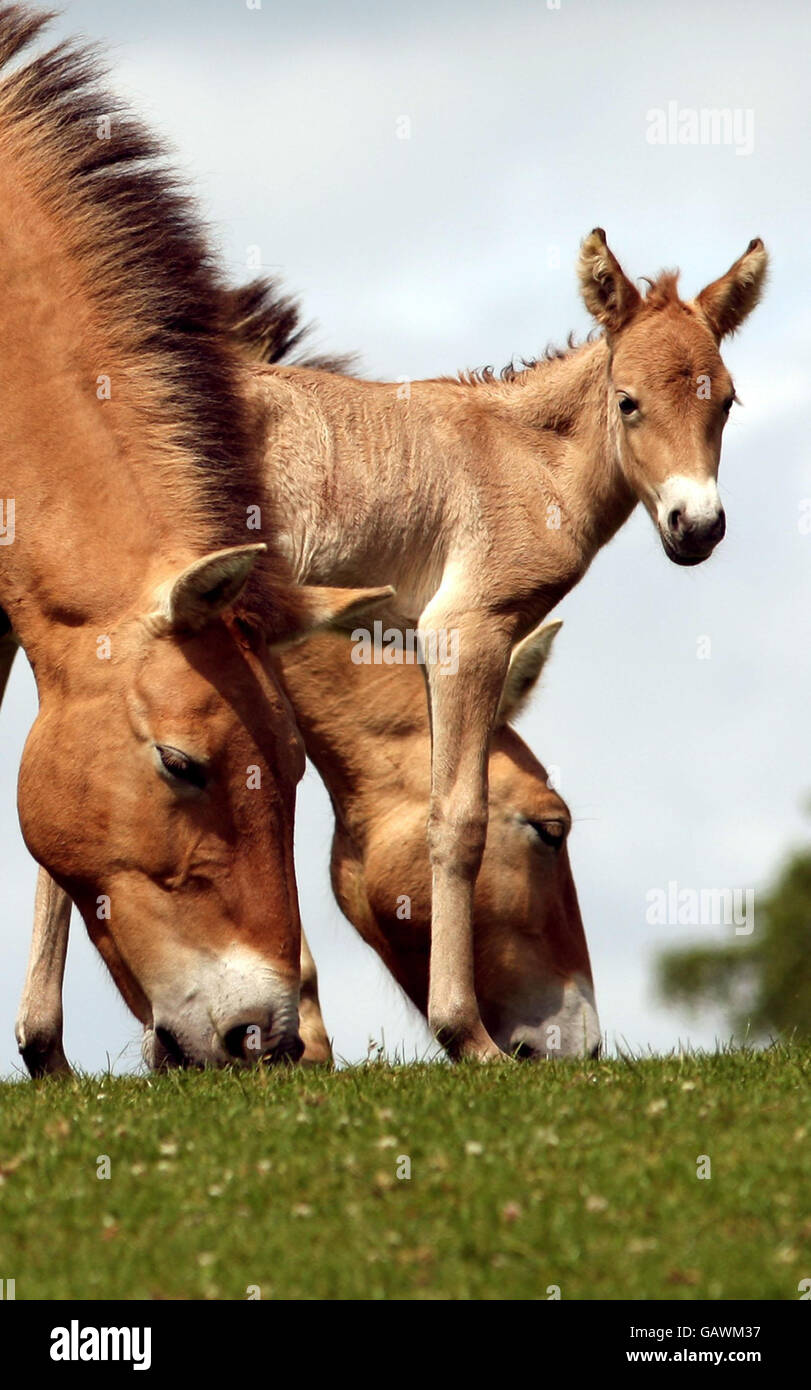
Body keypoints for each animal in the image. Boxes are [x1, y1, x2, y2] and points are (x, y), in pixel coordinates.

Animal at [246, 230, 767, 1050]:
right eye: (628, 402)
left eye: (725, 400)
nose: (698, 527)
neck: (525, 457)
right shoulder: (468, 631)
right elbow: (457, 819)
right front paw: (465, 1035)